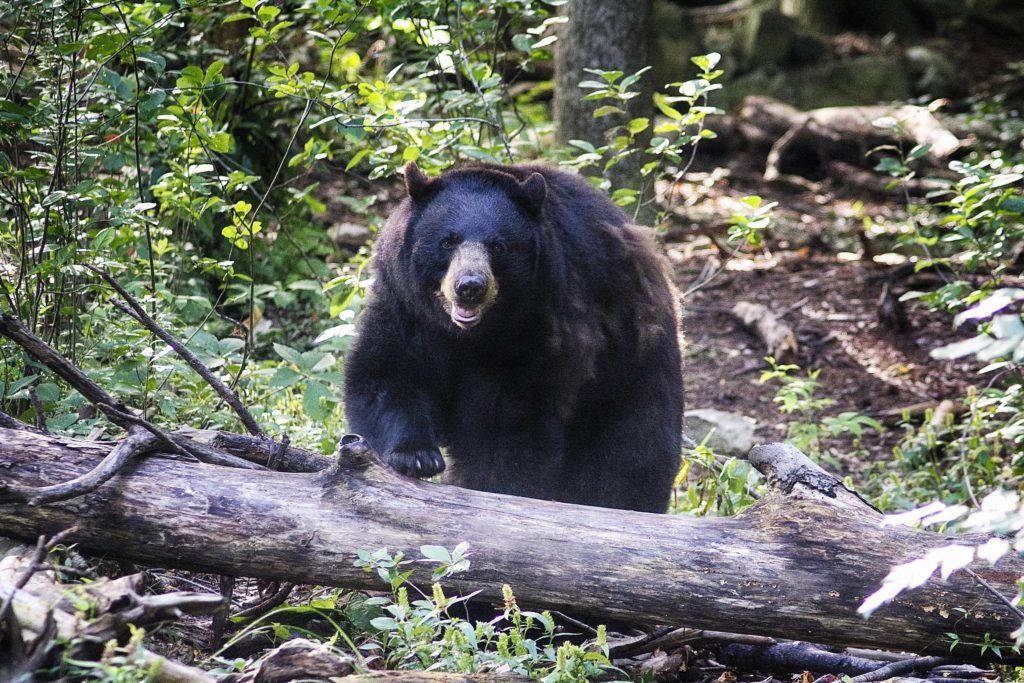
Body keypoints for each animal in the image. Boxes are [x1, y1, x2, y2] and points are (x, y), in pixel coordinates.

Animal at [339, 161, 684, 511]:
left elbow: (509, 423)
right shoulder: (405, 309)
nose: (470, 286)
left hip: (628, 370)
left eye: (498, 245)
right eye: (448, 241)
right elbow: (386, 374)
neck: (470, 336)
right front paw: (415, 456)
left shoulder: (539, 331)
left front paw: (495, 486)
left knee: (632, 454)